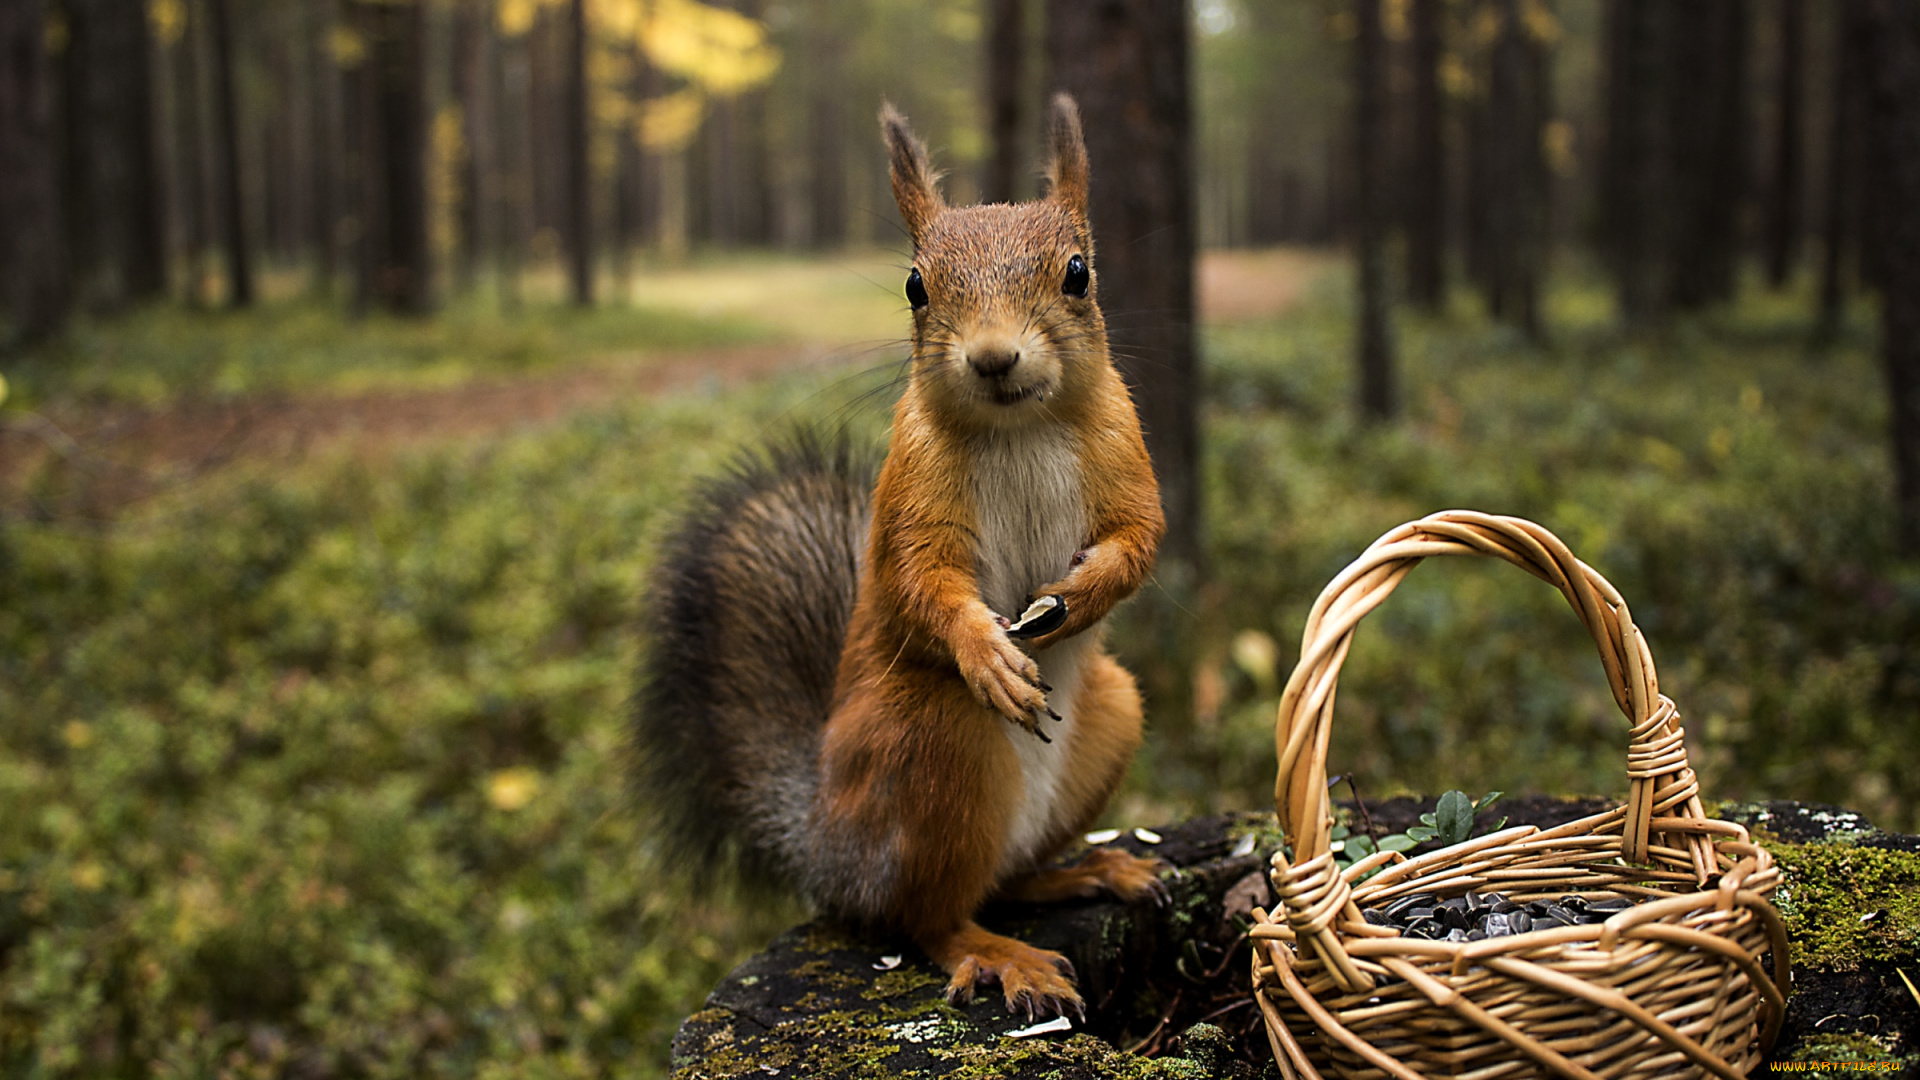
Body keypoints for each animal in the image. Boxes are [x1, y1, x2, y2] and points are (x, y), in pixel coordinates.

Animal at [637, 94, 1159, 1014]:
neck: (1020, 427)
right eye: (916, 286)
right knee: (926, 916)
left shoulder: (1126, 455)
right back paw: (999, 952)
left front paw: (1081, 596)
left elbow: (1139, 539)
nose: (993, 357)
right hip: (931, 742)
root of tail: (828, 849)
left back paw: (1085, 872)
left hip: (1112, 714)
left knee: (1003, 880)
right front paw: (987, 651)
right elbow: (922, 582)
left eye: (1078, 273)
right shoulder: (912, 492)